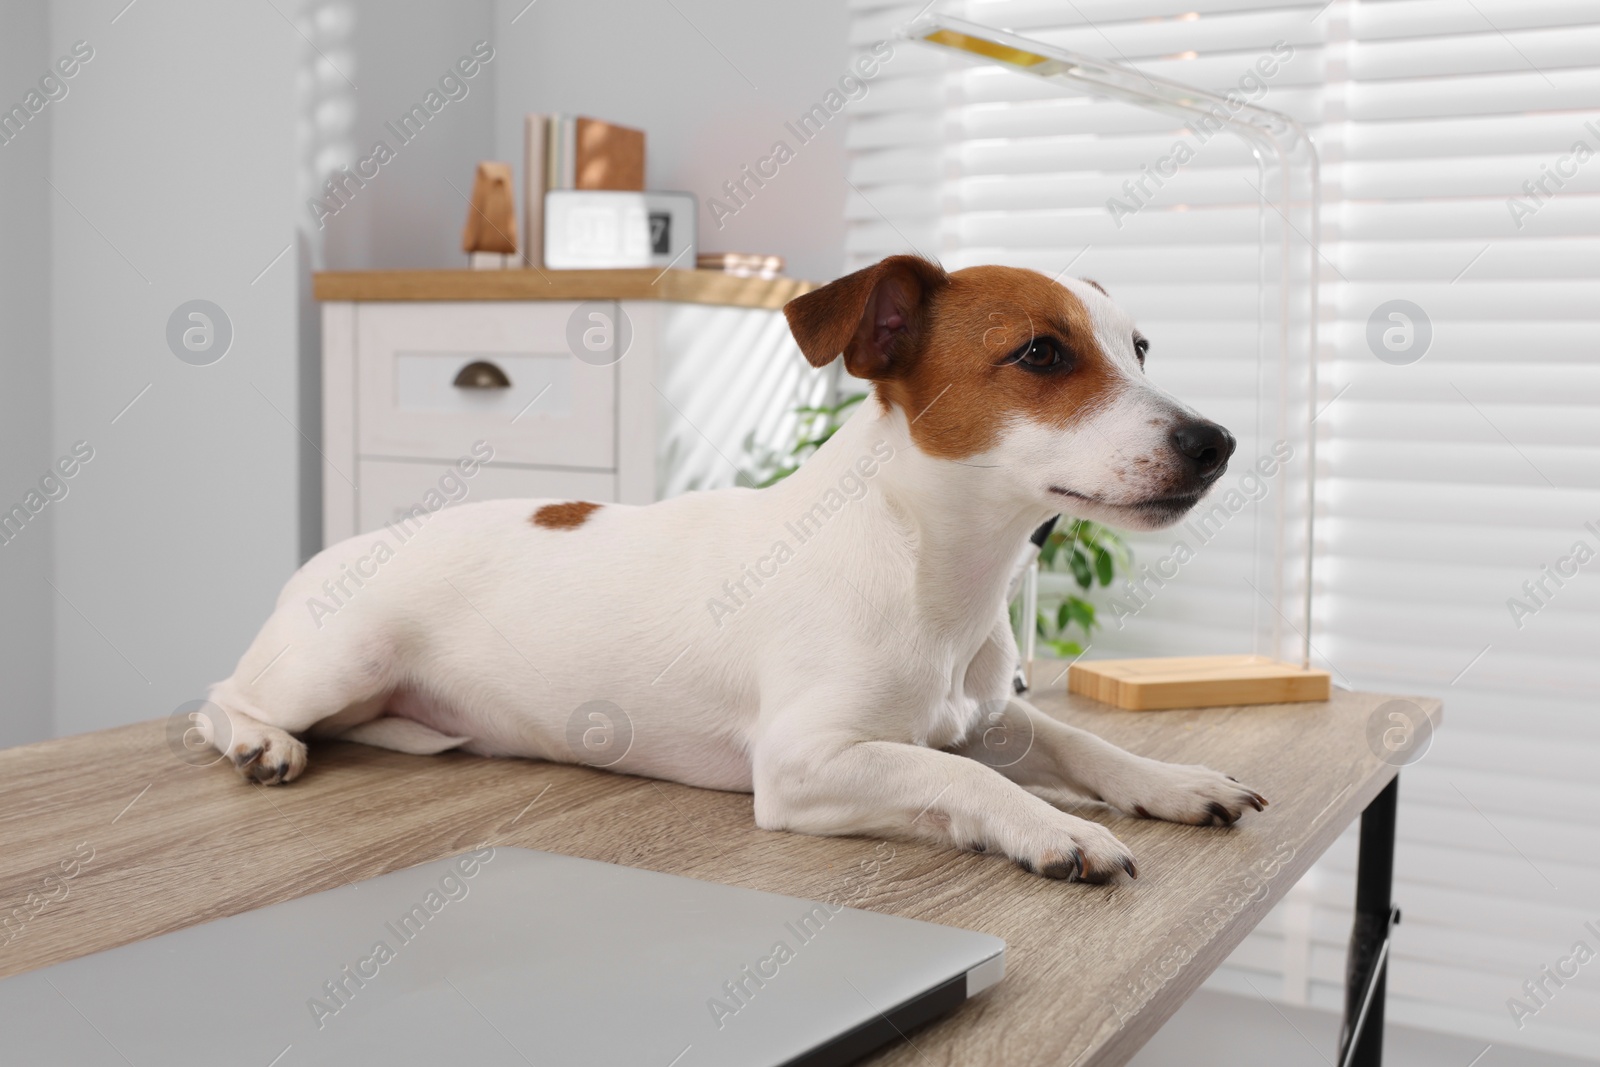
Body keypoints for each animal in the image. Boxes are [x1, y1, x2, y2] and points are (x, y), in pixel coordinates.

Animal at [209, 255, 1260, 883]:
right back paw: (260, 741)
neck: (934, 567)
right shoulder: (806, 762)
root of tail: (341, 552)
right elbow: (956, 775)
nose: (1217, 443)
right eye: (1040, 353)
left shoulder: (989, 713)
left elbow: (1079, 742)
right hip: (336, 660)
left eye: (1139, 348)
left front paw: (1169, 780)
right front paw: (1054, 825)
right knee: (221, 698)